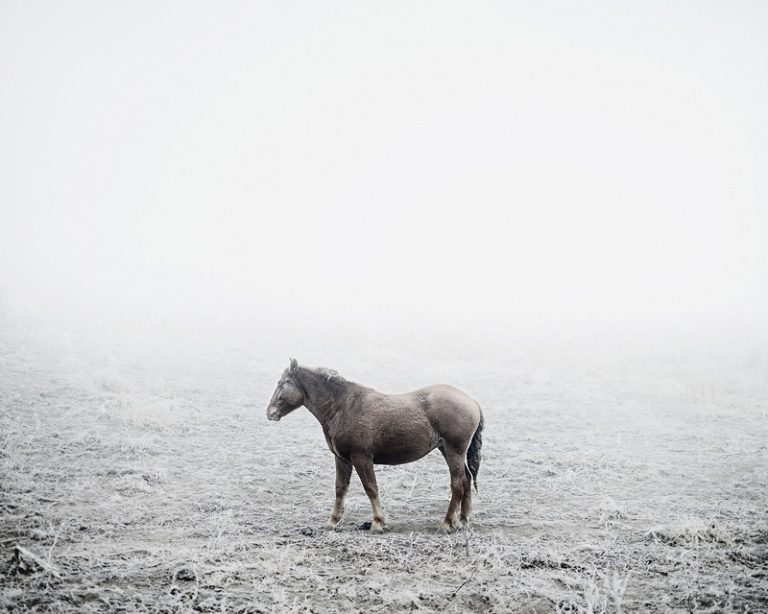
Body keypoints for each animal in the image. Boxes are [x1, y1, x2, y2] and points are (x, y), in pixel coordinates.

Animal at [268, 360, 484, 536]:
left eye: (282, 383)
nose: (270, 412)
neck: (343, 406)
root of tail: (472, 401)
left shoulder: (361, 457)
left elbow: (371, 488)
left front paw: (378, 523)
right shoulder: (342, 458)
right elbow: (340, 488)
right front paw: (332, 522)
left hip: (454, 451)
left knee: (457, 484)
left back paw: (447, 523)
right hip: (447, 450)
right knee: (466, 480)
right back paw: (463, 520)